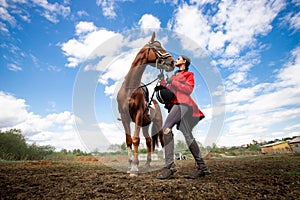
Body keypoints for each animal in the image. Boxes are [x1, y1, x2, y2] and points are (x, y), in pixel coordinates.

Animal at [116, 32, 175, 176]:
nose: (172, 62)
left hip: (157, 124)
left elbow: (135, 139)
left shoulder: (137, 114)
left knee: (162, 141)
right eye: (158, 47)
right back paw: (147, 164)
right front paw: (130, 166)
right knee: (148, 141)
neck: (129, 88)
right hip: (145, 125)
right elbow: (129, 140)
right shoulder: (125, 117)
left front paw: (135, 168)